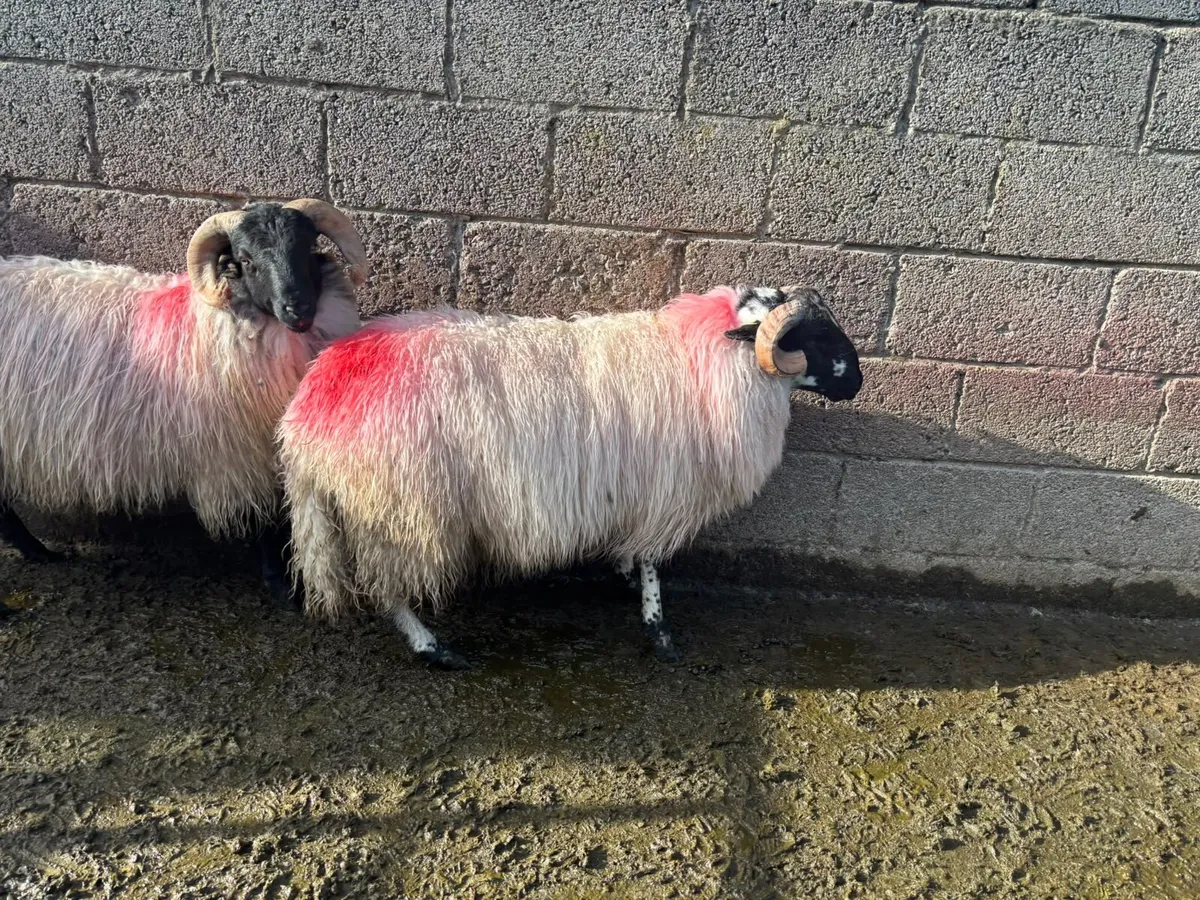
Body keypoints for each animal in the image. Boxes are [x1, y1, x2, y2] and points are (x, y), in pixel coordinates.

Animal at [0, 198, 368, 610]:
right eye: (246, 259)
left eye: (306, 248)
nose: (298, 309)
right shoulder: (240, 455)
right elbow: (264, 523)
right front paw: (281, 587)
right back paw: (34, 556)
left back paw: (37, 552)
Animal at [279, 283, 862, 668]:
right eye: (813, 336)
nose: (856, 382)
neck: (703, 357)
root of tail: (310, 407)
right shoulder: (663, 490)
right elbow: (653, 564)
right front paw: (659, 632)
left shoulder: (638, 491)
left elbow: (635, 553)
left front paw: (625, 576)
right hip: (401, 511)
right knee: (388, 588)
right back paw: (434, 648)